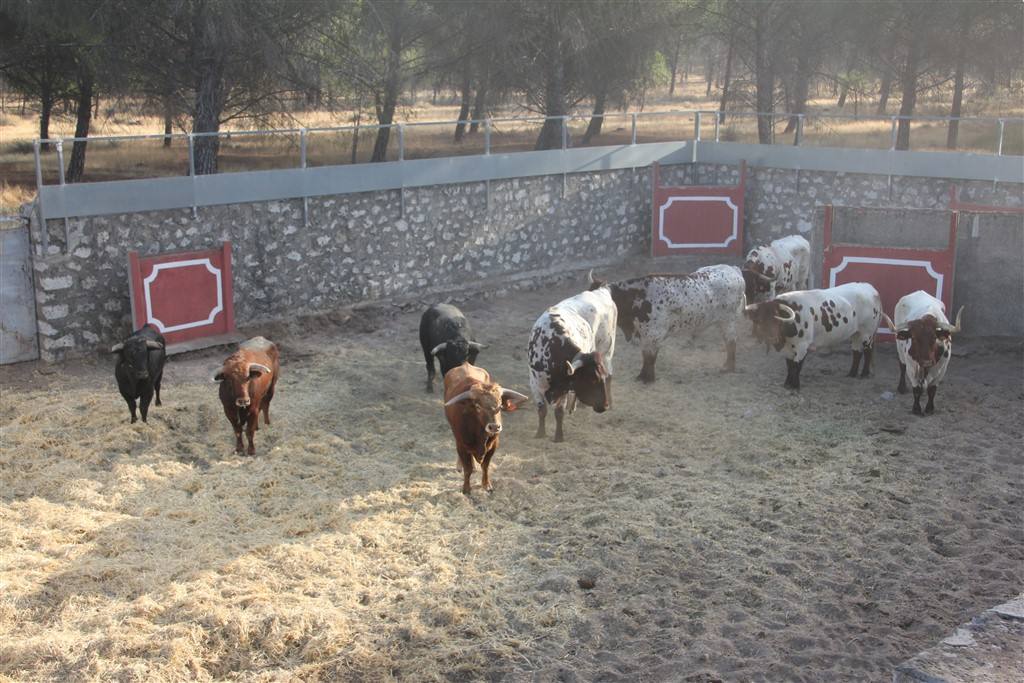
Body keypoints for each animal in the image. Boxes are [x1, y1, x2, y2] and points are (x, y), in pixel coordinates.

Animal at [528, 282, 614, 444]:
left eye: (600, 377)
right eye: (592, 380)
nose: (604, 406)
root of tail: (601, 290)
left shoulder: (564, 388)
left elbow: (559, 412)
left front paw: (558, 437)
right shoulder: (535, 384)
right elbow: (542, 410)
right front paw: (540, 433)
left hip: (607, 350)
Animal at [589, 266, 749, 385]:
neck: (638, 298)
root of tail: (734, 270)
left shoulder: (654, 335)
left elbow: (650, 357)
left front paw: (648, 379)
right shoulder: (645, 335)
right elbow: (645, 355)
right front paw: (642, 376)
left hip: (728, 321)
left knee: (731, 342)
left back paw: (728, 367)